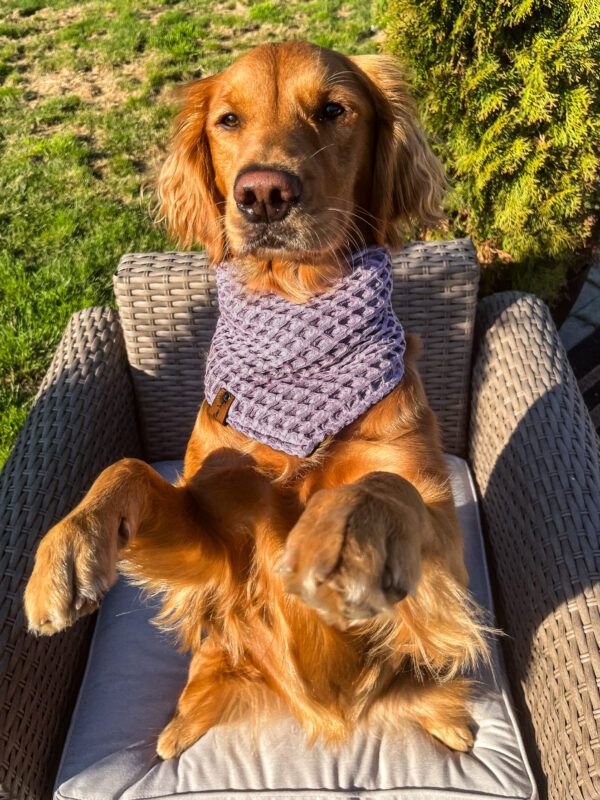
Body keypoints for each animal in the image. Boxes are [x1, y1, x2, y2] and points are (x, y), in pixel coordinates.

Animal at [25, 40, 490, 760]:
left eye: (334, 110)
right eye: (228, 119)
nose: (264, 193)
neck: (294, 304)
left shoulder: (441, 534)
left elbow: (386, 488)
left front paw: (339, 536)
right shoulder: (216, 537)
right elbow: (127, 470)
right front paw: (66, 550)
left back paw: (451, 722)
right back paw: (177, 727)